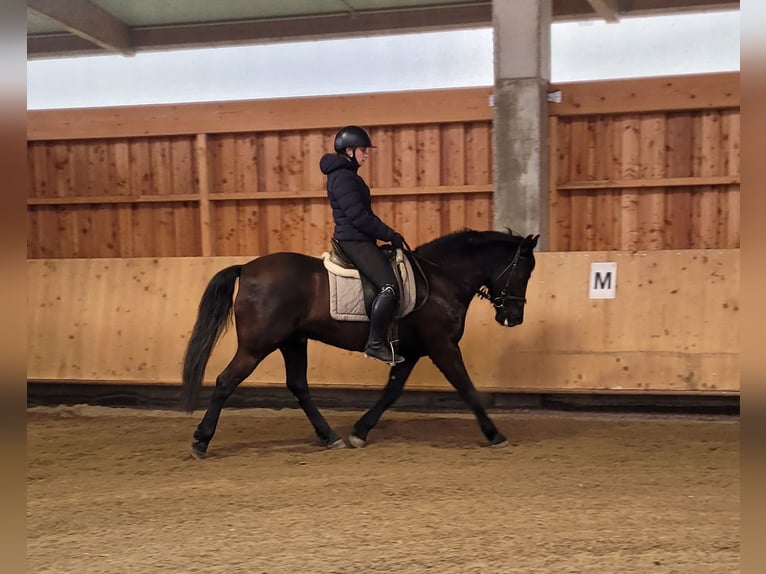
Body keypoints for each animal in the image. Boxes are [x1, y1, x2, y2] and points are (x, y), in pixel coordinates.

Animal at [181, 229, 540, 458]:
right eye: (523, 271)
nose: (514, 317)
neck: (440, 281)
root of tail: (247, 268)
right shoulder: (442, 346)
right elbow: (466, 388)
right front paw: (494, 434)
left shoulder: (410, 352)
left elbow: (391, 392)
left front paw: (360, 431)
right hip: (257, 346)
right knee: (226, 381)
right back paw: (201, 441)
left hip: (293, 341)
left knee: (298, 386)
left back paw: (330, 437)